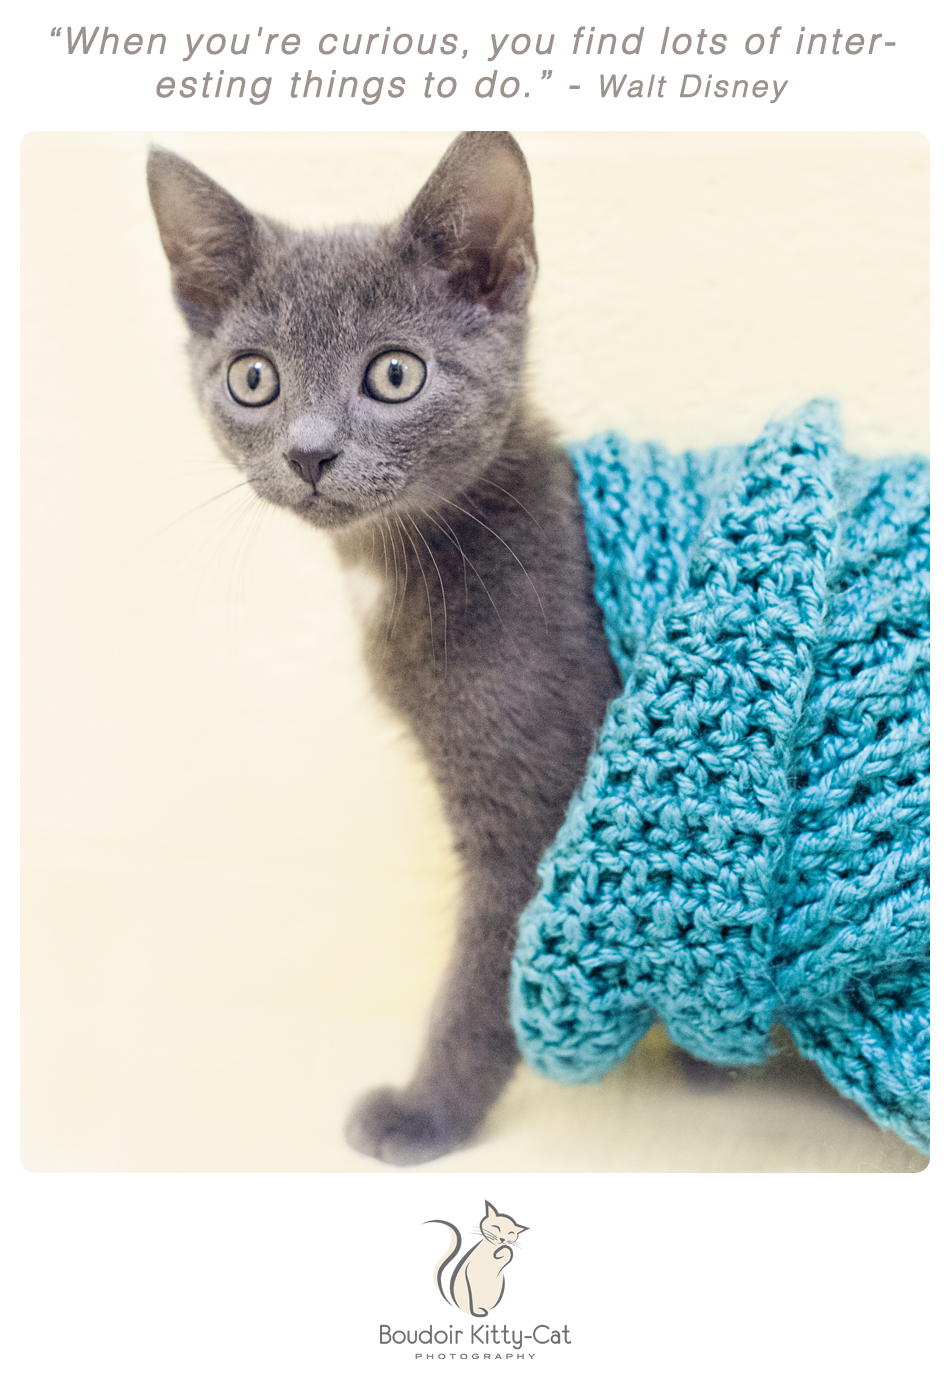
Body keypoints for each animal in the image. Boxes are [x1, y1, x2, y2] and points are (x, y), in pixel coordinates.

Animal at [148, 131, 617, 1163]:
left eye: (395, 374)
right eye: (253, 378)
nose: (309, 453)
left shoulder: (536, 806)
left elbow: (489, 978)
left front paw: (427, 1111)